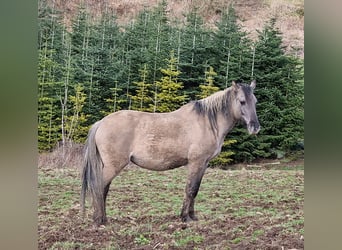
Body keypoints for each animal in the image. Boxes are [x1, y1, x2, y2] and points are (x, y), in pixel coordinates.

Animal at [81, 81, 260, 226]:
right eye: (242, 101)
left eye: (255, 101)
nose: (255, 127)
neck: (207, 122)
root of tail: (101, 123)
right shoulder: (196, 162)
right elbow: (190, 189)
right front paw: (185, 218)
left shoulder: (204, 164)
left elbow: (195, 189)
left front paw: (192, 216)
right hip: (113, 166)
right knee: (99, 187)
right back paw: (98, 220)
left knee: (103, 189)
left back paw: (104, 219)